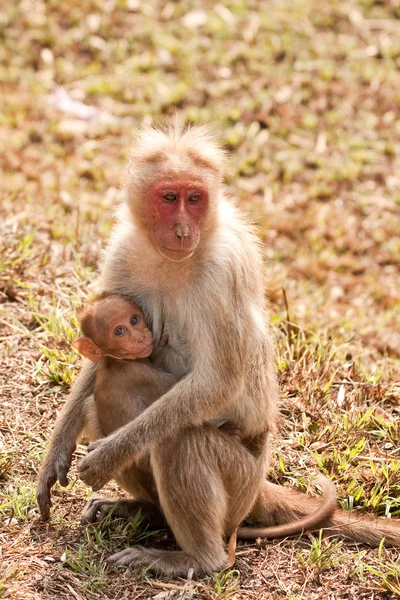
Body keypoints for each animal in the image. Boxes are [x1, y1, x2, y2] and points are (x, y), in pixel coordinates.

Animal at [36, 122, 400, 576]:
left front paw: (108, 455)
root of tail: (258, 484)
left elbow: (219, 382)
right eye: (169, 198)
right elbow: (98, 362)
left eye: (194, 199)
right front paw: (56, 456)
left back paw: (197, 557)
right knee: (97, 403)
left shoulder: (223, 269)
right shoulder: (124, 249)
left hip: (240, 480)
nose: (182, 230)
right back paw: (146, 510)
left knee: (178, 438)